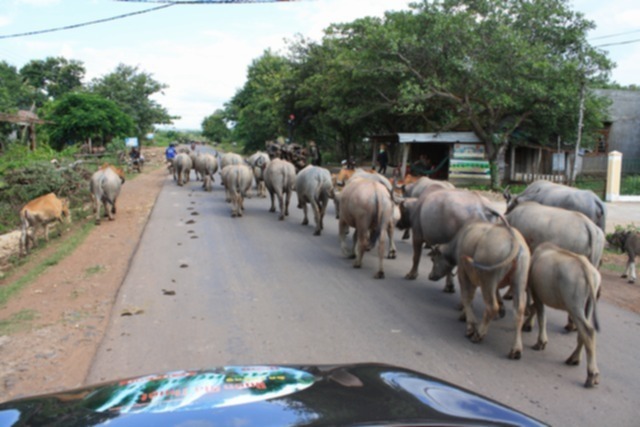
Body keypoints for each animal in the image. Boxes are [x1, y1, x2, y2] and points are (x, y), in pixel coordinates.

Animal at [428, 219, 528, 360]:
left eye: (433, 259)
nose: (430, 276)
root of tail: (513, 239)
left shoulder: (463, 272)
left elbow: (467, 296)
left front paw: (470, 324)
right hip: (519, 281)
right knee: (518, 311)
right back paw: (516, 349)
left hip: (488, 279)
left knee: (492, 307)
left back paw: (478, 334)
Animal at [524, 244, 600, 388]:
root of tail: (587, 269)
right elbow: (538, 311)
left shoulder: (537, 292)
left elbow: (541, 316)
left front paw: (540, 342)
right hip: (588, 304)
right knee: (584, 332)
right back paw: (574, 359)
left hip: (574, 304)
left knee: (588, 331)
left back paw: (591, 375)